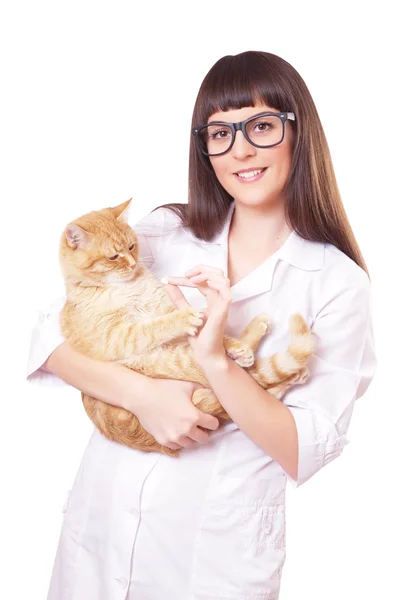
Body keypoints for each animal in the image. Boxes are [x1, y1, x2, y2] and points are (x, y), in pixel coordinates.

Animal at [59, 199, 314, 458]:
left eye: (131, 247)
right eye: (113, 256)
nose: (132, 264)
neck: (127, 287)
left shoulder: (162, 305)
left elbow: (217, 334)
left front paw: (232, 344)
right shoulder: (115, 337)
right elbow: (152, 327)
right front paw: (184, 318)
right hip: (180, 360)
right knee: (255, 380)